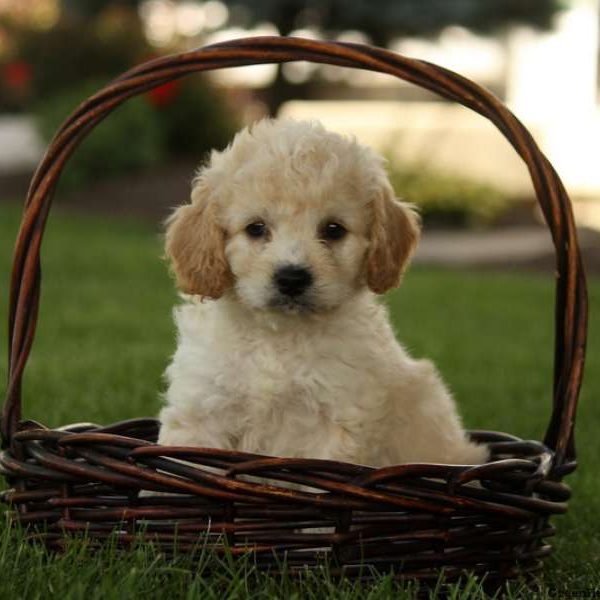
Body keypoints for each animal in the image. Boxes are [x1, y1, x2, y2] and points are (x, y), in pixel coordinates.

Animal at [157, 116, 490, 464]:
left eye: (333, 229)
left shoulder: (339, 419)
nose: (292, 278)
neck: (279, 337)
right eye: (256, 228)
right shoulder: (201, 410)